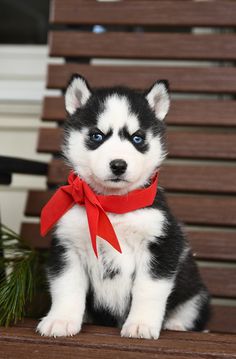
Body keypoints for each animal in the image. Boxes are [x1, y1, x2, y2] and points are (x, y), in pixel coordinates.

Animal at [37, 74, 210, 338]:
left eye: (137, 138)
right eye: (97, 136)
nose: (118, 165)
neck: (110, 206)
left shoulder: (161, 245)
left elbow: (148, 290)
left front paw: (141, 324)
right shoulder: (67, 245)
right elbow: (67, 286)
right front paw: (61, 320)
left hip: (196, 291)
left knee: (190, 309)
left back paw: (176, 324)